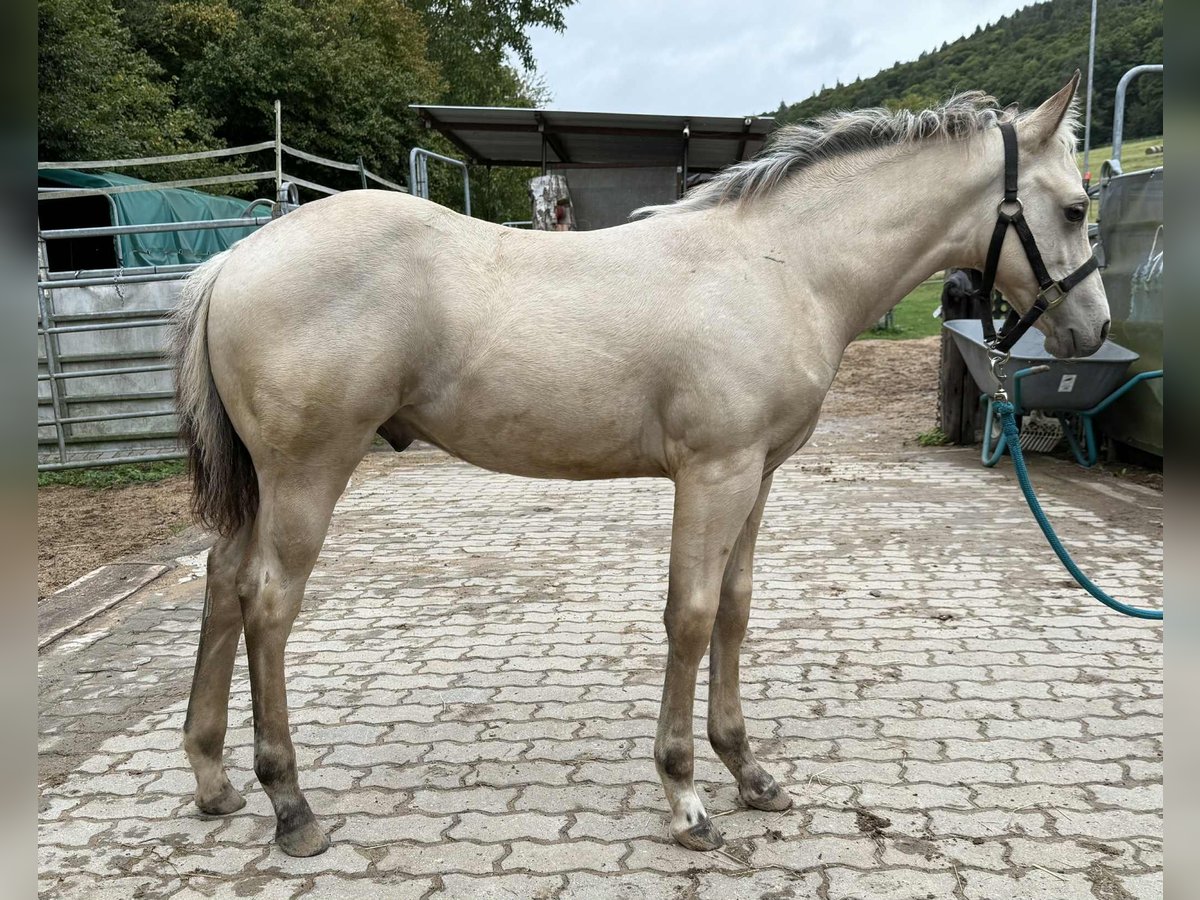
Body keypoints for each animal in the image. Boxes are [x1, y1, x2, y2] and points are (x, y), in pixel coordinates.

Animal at [173, 73, 1107, 857]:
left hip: (262, 486)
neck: (782, 266)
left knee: (222, 582)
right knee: (268, 604)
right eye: (1074, 208)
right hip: (306, 475)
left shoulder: (757, 476)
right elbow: (689, 618)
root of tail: (232, 259)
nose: (1092, 330)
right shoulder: (714, 474)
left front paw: (748, 772)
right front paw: (686, 797)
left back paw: (215, 781)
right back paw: (290, 805)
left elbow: (734, 610)